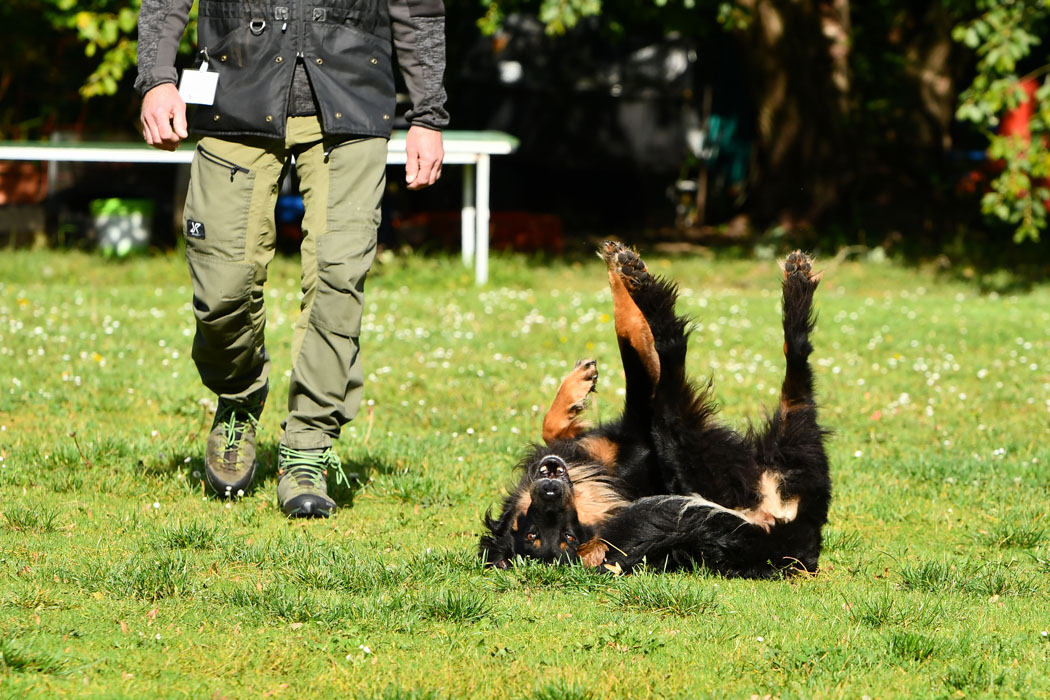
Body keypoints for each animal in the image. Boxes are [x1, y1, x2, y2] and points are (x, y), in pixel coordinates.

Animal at [480, 243, 831, 579]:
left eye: (563, 536)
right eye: (535, 535)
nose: (550, 492)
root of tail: (780, 533)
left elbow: (554, 422)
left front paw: (576, 391)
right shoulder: (641, 418)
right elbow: (636, 343)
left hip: (792, 441)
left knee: (797, 365)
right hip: (684, 440)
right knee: (674, 347)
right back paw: (643, 285)